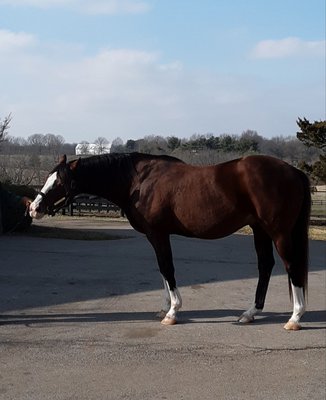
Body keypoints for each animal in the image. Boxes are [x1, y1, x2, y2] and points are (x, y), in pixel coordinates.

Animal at [29, 152, 310, 330]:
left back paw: (295, 318)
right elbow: (162, 271)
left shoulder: (158, 233)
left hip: (278, 232)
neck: (139, 181)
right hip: (259, 229)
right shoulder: (155, 236)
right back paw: (250, 313)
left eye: (60, 182)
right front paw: (164, 309)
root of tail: (294, 171)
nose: (33, 208)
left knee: (291, 266)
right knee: (265, 266)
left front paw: (173, 312)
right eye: (49, 178)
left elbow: (167, 268)